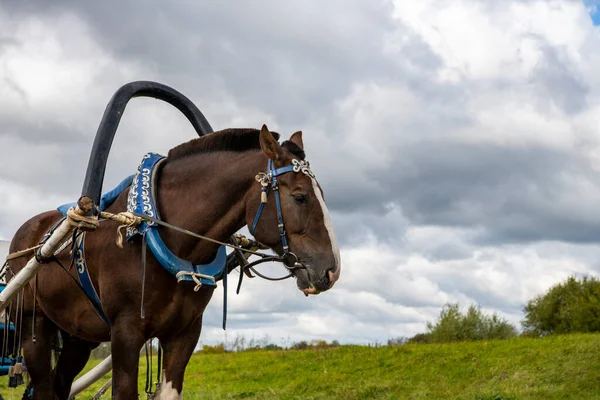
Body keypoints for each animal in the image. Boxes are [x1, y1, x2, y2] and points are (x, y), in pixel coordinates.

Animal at [7, 124, 340, 396]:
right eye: (300, 197)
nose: (331, 270)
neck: (157, 233)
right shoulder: (125, 334)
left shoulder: (184, 334)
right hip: (33, 328)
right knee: (44, 385)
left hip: (78, 336)